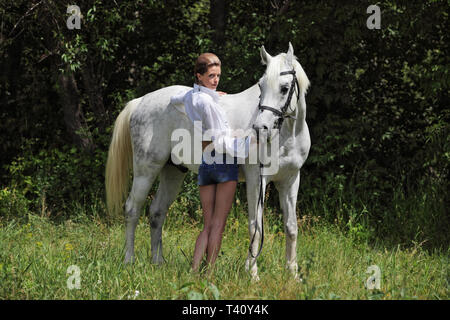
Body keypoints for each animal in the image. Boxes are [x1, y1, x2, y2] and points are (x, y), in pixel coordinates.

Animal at [105, 43, 310, 280]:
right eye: (261, 85)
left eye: (285, 88)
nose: (260, 129)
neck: (287, 135)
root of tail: (141, 102)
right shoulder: (257, 180)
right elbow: (256, 226)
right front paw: (253, 274)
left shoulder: (290, 180)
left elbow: (291, 226)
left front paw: (293, 274)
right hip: (146, 170)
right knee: (132, 209)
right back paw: (129, 260)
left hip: (172, 172)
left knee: (157, 212)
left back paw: (158, 262)